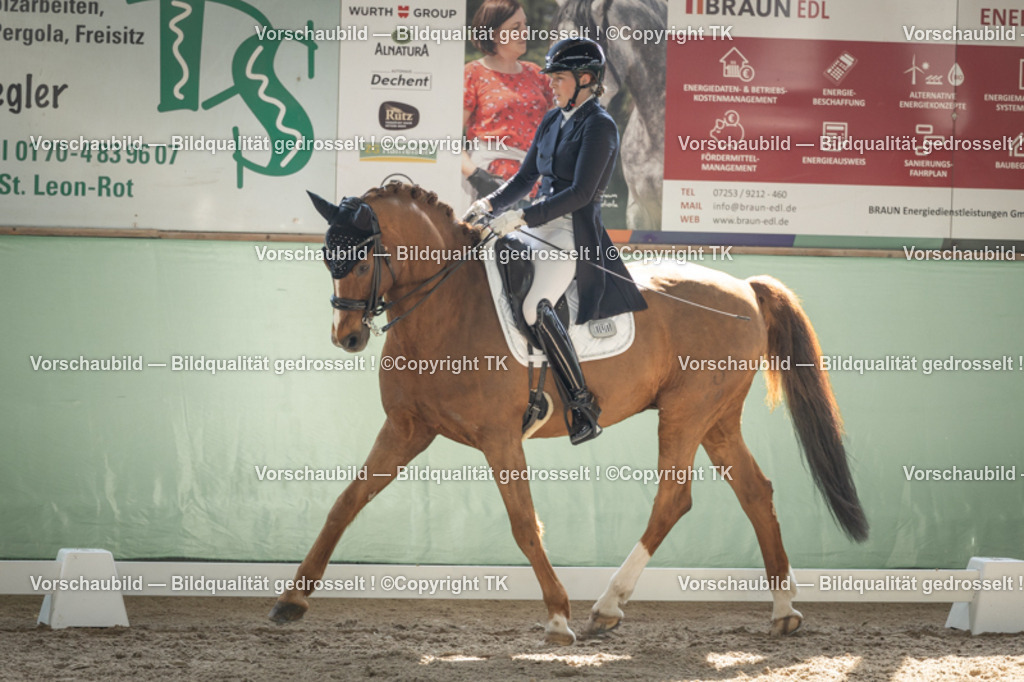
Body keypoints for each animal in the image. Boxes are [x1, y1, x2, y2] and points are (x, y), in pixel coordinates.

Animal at [268, 182, 868, 644]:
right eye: (328, 258)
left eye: (361, 257)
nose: (346, 337)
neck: (447, 308)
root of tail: (744, 287)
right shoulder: (406, 429)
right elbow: (345, 504)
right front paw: (292, 599)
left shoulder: (500, 439)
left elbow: (523, 524)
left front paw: (559, 617)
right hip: (716, 420)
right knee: (755, 492)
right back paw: (784, 611)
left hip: (685, 413)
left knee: (674, 499)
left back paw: (607, 605)